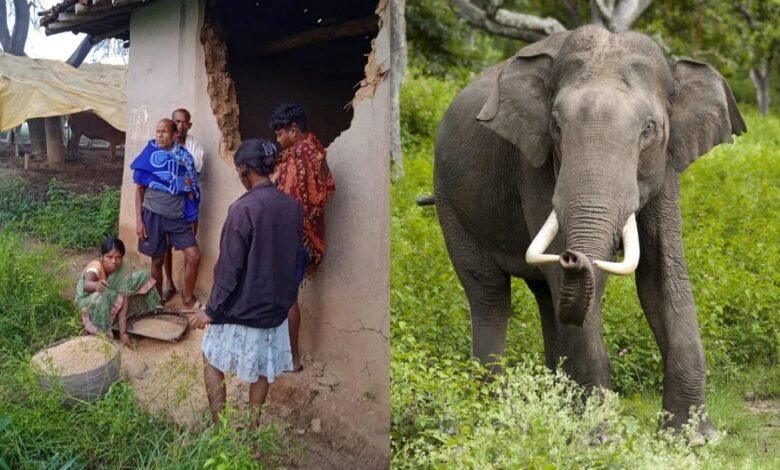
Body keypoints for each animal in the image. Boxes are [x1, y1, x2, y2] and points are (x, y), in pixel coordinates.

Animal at [432, 25, 745, 437]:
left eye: (649, 129)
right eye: (555, 126)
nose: (572, 256)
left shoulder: (666, 167)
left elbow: (662, 275)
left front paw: (693, 438)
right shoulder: (534, 163)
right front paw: (598, 436)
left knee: (546, 298)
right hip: (450, 203)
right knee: (489, 294)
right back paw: (494, 416)